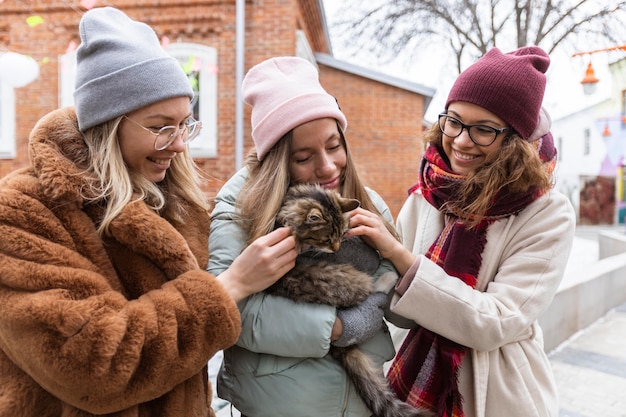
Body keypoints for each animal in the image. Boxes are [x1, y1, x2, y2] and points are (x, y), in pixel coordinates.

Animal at [266, 184, 432, 416]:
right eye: (325, 239)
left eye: (342, 233)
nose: (336, 249)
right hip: (338, 279)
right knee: (368, 291)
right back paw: (388, 279)